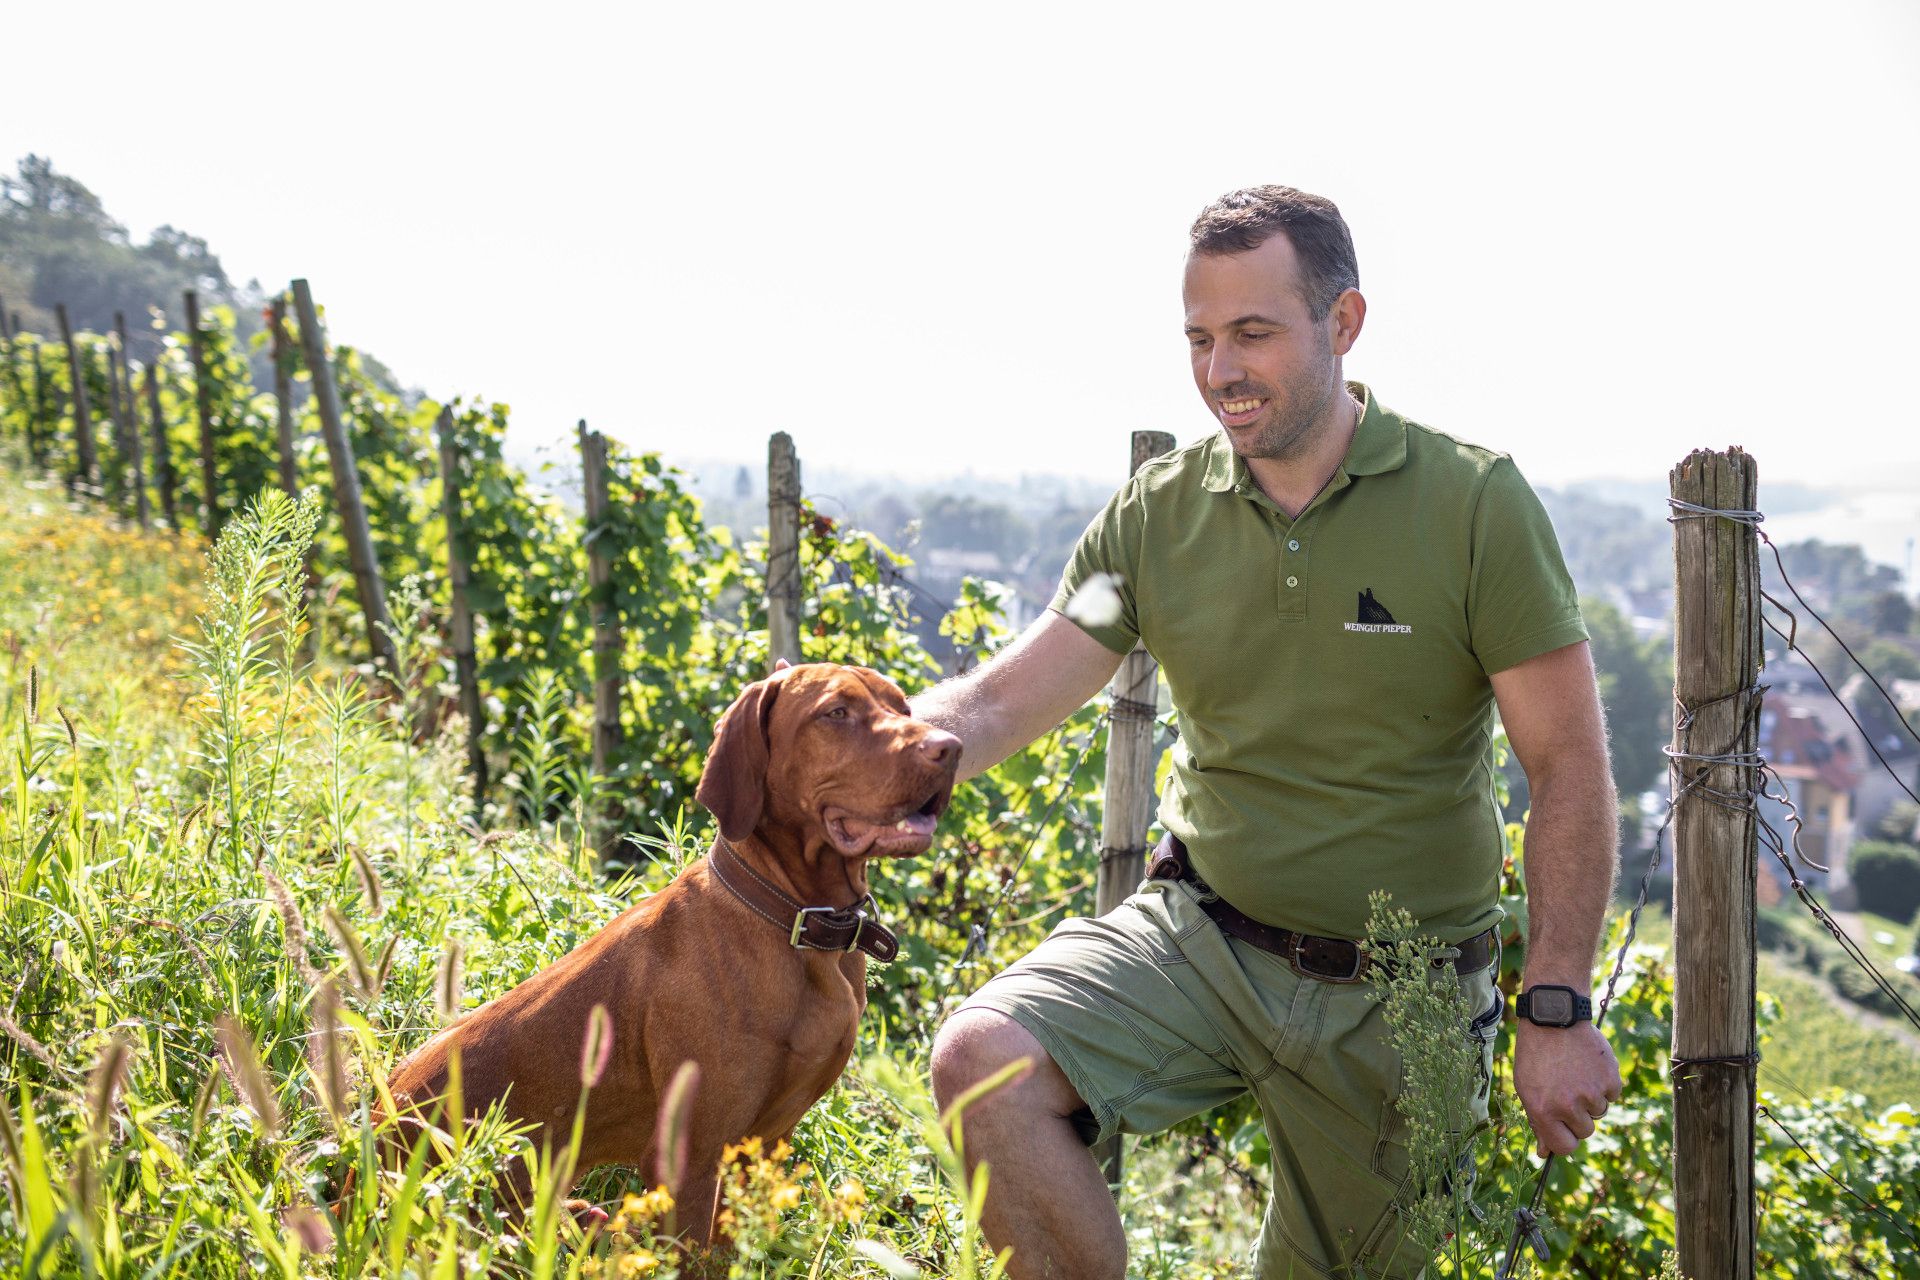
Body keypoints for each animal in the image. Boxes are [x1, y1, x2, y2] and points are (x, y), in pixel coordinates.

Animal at [382, 671, 960, 1243]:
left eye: (903, 707)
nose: (950, 748)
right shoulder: (687, 1160)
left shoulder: (763, 1147)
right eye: (836, 712)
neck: (797, 925)